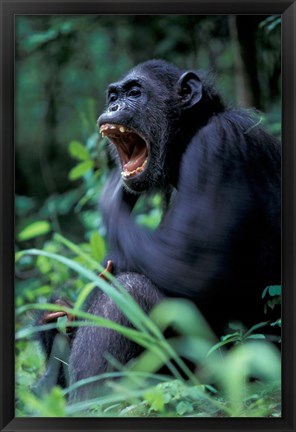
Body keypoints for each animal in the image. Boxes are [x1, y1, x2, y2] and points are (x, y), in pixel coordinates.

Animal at [37, 60, 280, 402]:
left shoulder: (218, 144)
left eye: (135, 93)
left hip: (227, 370)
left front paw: (110, 194)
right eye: (114, 96)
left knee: (130, 291)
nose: (113, 106)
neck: (187, 139)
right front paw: (54, 317)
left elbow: (191, 269)